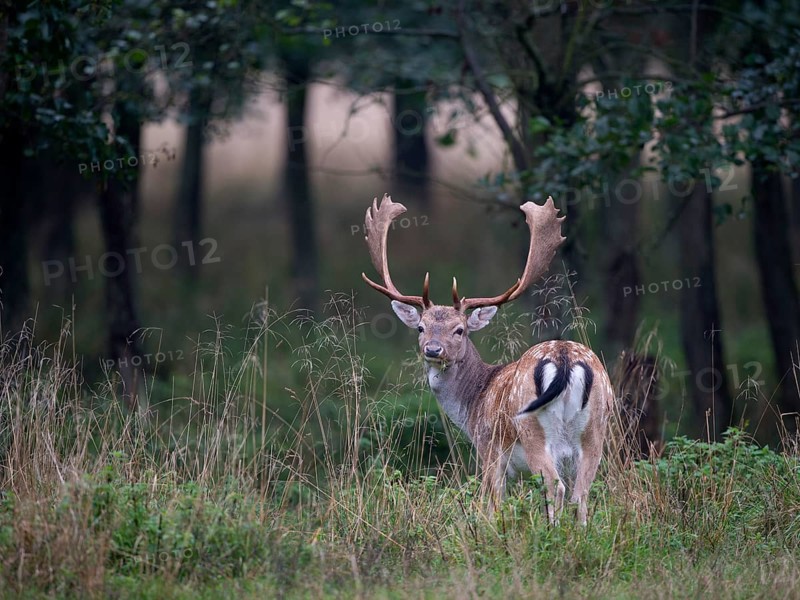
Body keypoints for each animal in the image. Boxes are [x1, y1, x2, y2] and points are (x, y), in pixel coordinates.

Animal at [361, 194, 614, 524]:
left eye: (459, 330)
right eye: (421, 327)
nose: (433, 350)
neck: (474, 402)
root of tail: (564, 359)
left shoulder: (489, 449)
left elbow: (492, 504)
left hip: (533, 431)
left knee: (554, 486)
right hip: (595, 430)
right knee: (581, 495)